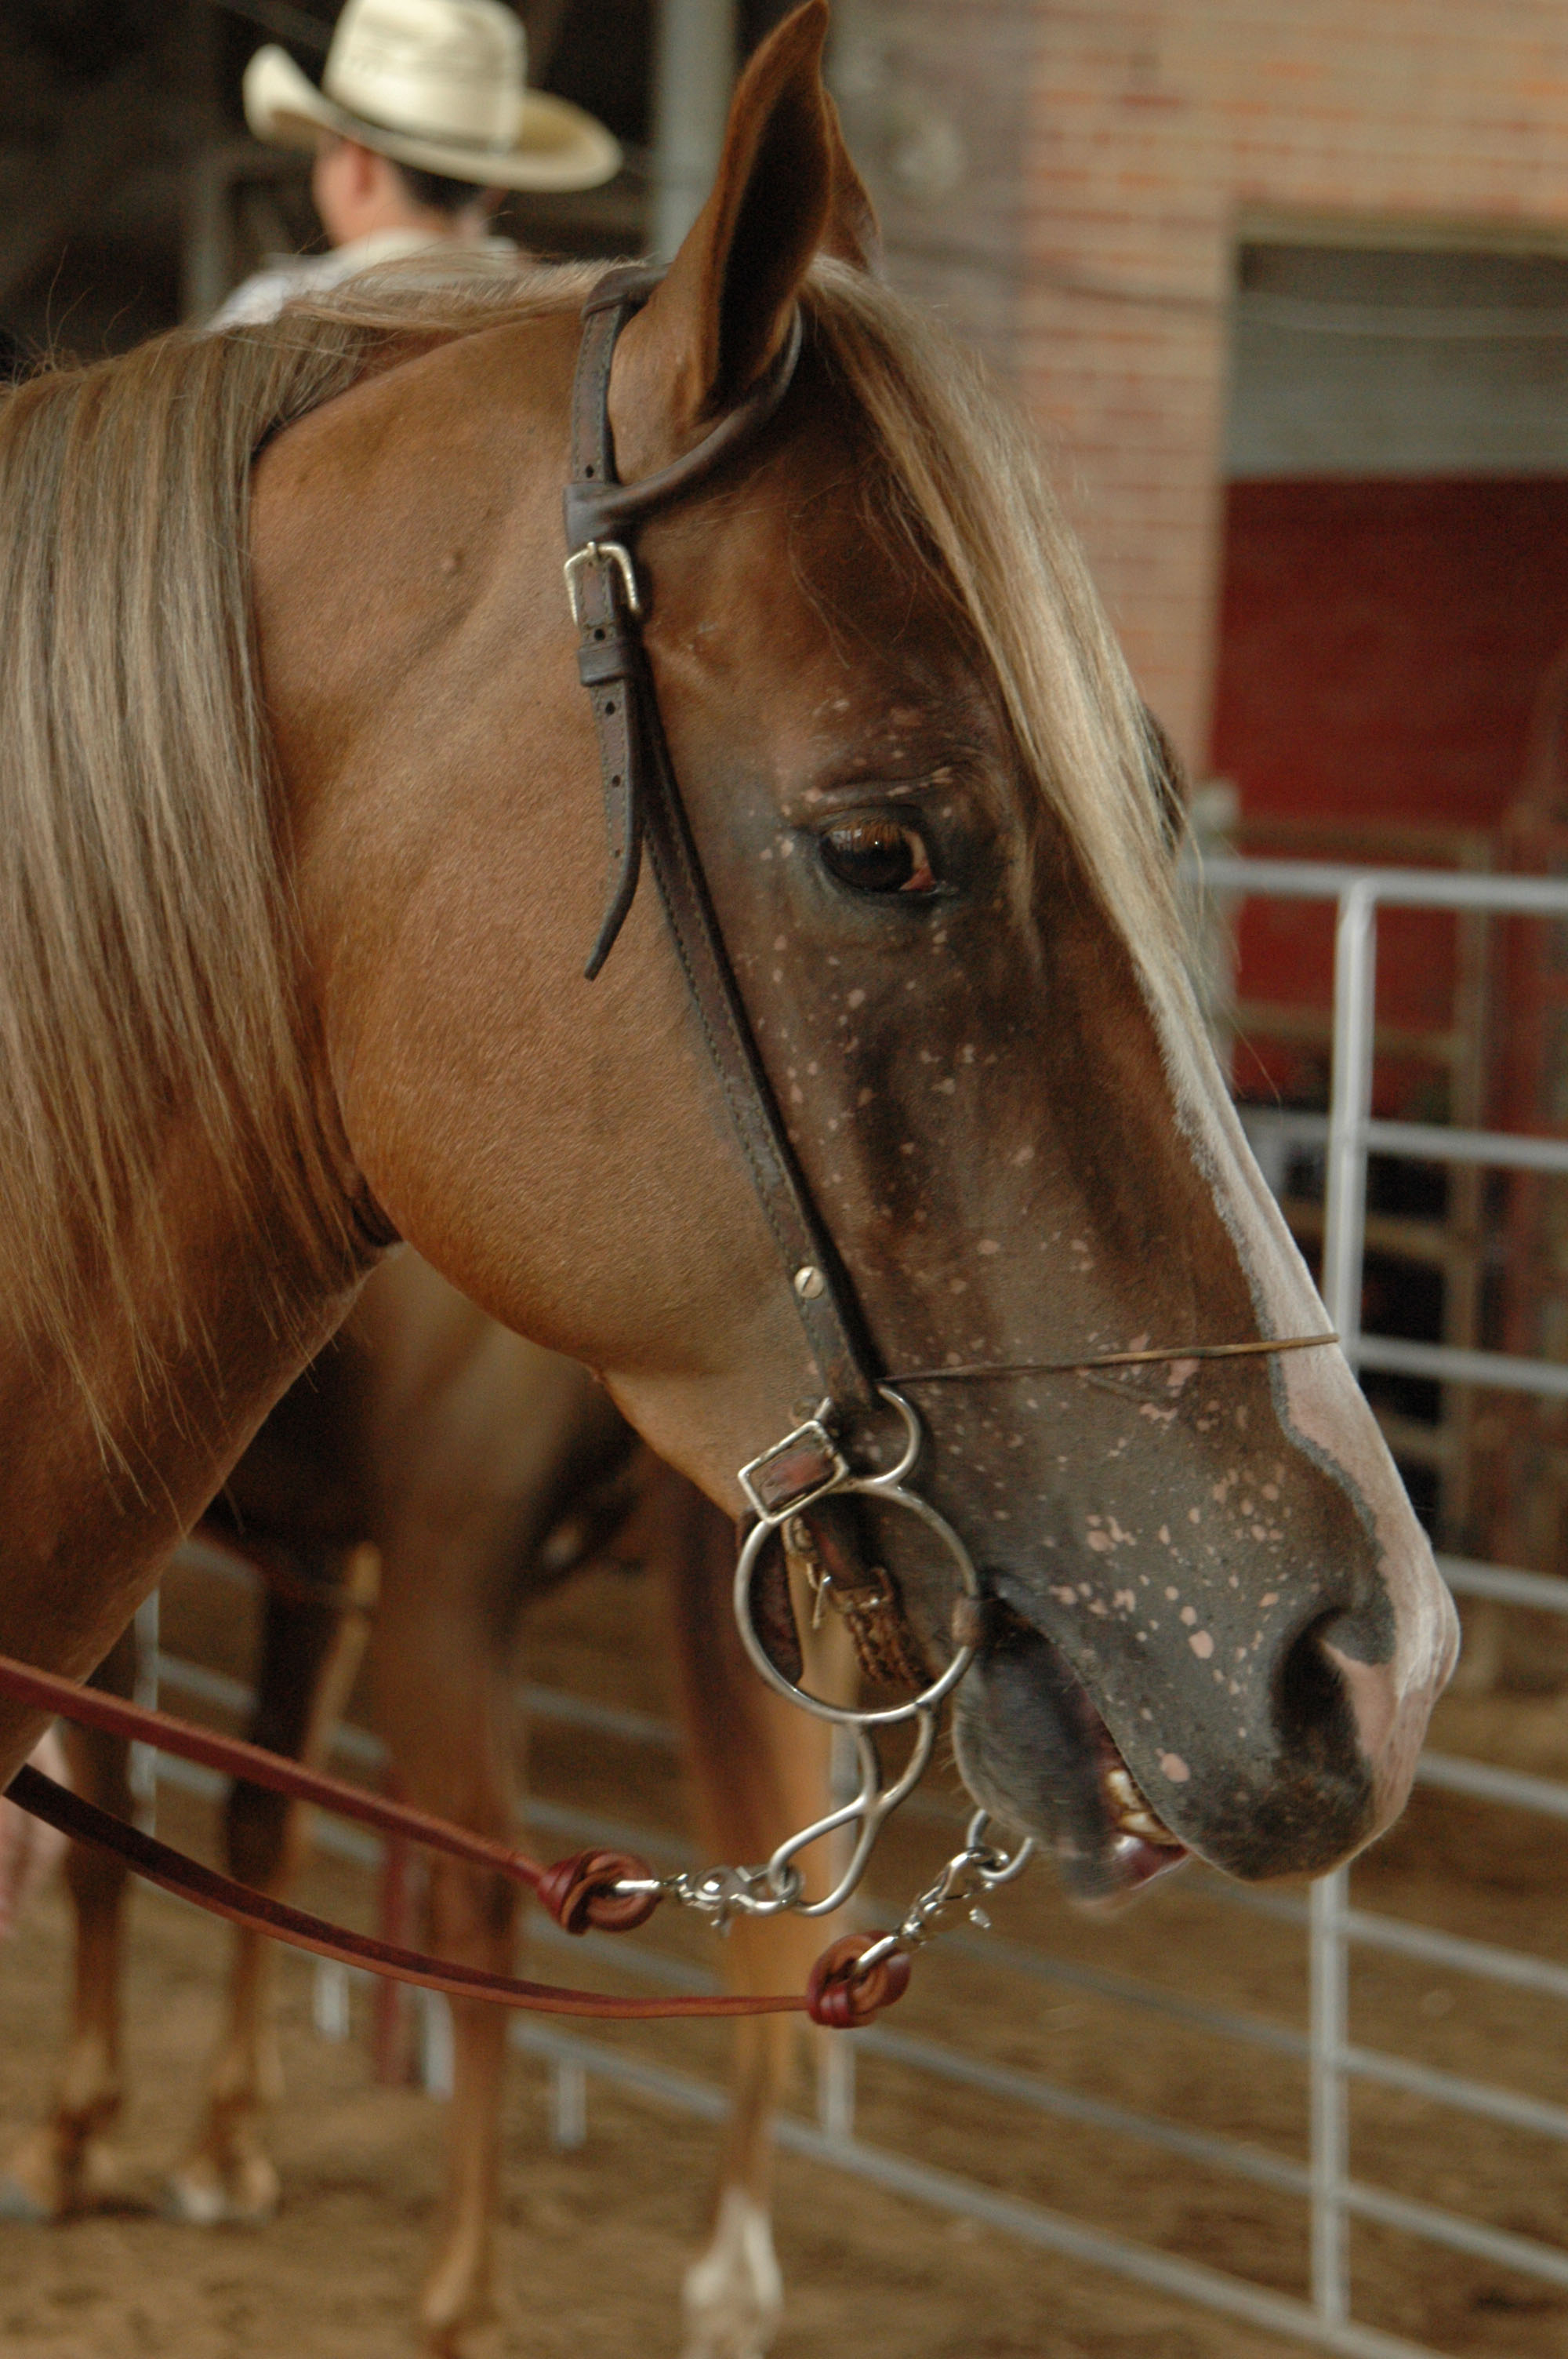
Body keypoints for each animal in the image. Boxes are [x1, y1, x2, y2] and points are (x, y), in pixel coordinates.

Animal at [2, 1250, 838, 2358]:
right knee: (790, 1913)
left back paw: (463, 2292)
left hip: (446, 1602)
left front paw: (71, 2137)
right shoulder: (315, 1554)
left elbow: (106, 1835)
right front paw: (224, 2149)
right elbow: (260, 1829)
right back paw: (730, 2281)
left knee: (483, 1910)